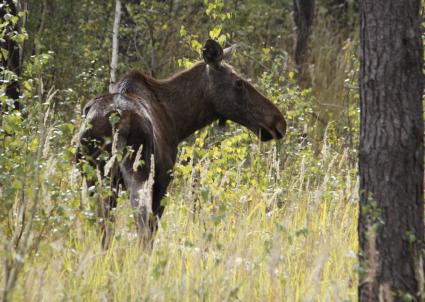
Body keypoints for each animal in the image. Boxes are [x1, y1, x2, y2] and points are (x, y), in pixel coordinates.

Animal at [78, 40, 286, 248]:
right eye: (239, 83)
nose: (279, 121)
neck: (178, 121)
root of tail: (117, 120)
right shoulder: (162, 181)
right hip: (138, 174)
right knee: (142, 229)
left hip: (97, 179)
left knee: (105, 230)